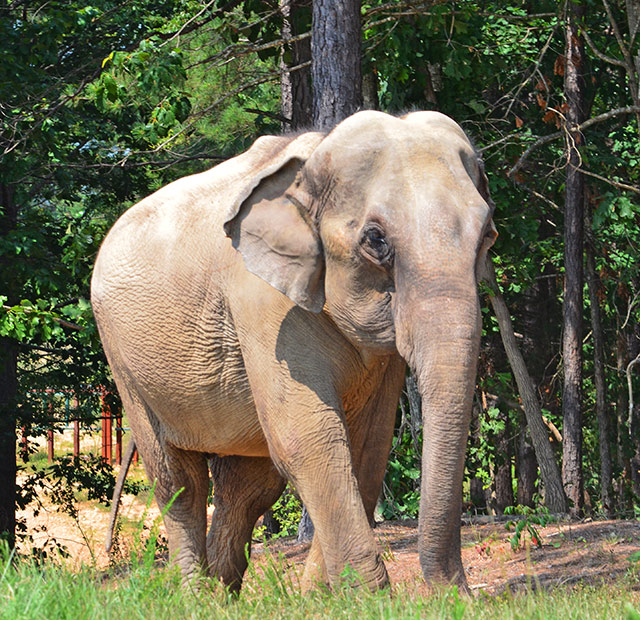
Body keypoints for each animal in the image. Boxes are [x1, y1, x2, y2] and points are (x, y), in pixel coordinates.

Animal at [91, 109, 496, 592]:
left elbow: (368, 448)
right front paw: (369, 597)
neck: (316, 154)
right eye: (376, 240)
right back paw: (196, 596)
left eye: (487, 236)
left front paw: (322, 597)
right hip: (124, 361)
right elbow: (309, 439)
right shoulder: (262, 301)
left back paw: (220, 596)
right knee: (177, 479)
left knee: (246, 487)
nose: (455, 596)